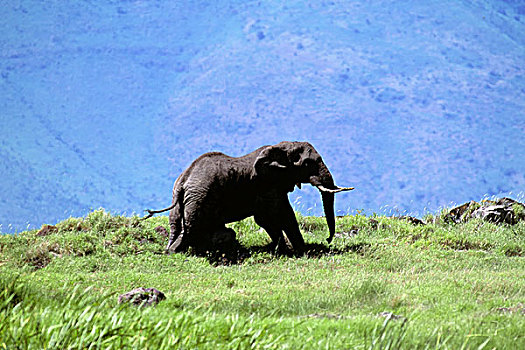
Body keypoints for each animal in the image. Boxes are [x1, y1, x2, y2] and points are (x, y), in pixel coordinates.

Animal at [145, 141, 354, 253]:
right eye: (308, 163)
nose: (328, 240)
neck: (279, 147)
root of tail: (184, 181)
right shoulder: (267, 185)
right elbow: (274, 216)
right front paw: (296, 251)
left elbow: (275, 217)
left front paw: (290, 249)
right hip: (199, 199)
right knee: (192, 229)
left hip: (179, 201)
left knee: (178, 225)